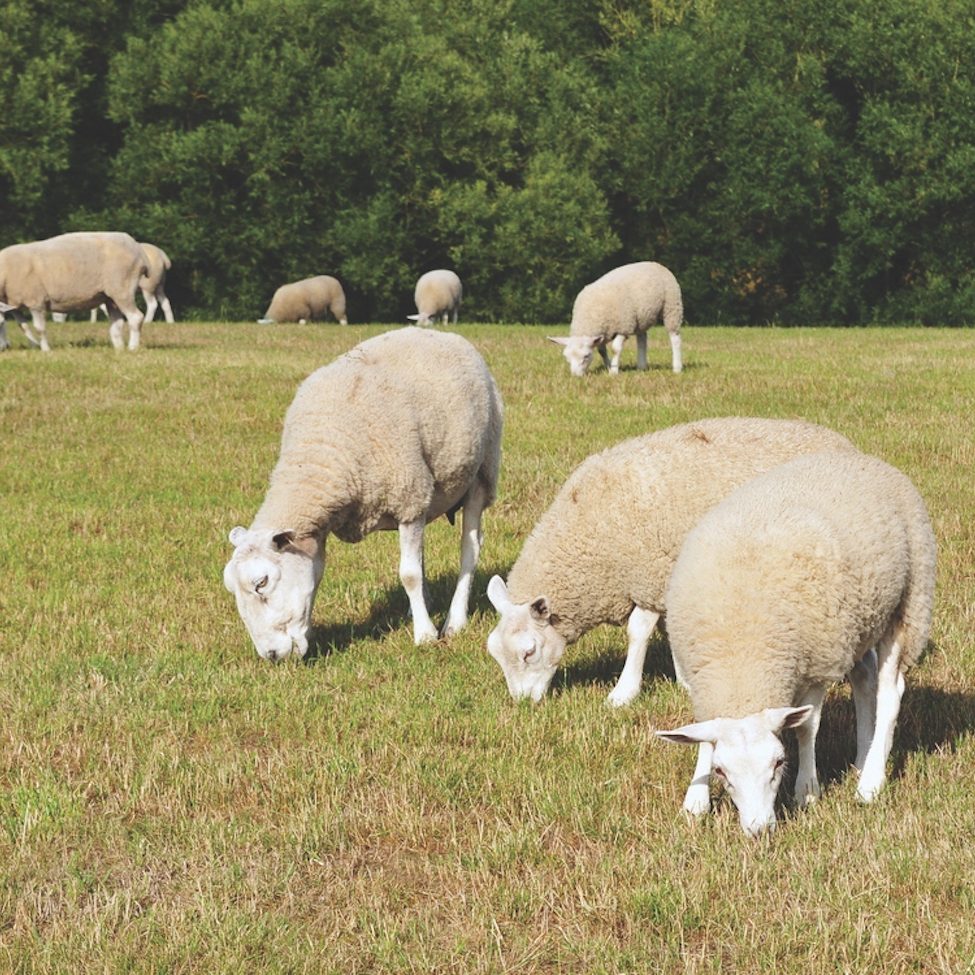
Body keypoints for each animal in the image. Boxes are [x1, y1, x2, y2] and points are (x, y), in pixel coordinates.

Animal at [0, 231, 147, 352]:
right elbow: (23, 326)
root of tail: (137, 248)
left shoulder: (36, 301)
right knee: (117, 322)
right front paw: (33, 346)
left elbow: (39, 328)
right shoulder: (14, 305)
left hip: (123, 288)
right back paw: (119, 348)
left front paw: (45, 350)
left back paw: (132, 348)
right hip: (110, 297)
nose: (3, 348)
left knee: (136, 317)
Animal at [224, 324, 504, 660]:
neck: (320, 452)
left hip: (481, 472)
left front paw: (425, 635)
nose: (272, 656)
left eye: (261, 582)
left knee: (470, 549)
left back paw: (454, 621)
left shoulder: (408, 498)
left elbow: (408, 575)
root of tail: (441, 333)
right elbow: (322, 572)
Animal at [486, 414, 856, 708]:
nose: (522, 703)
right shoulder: (667, 581)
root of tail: (841, 442)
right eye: (495, 654)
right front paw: (685, 680)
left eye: (529, 652)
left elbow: (638, 631)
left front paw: (623, 693)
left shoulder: (651, 574)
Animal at [548, 262, 688, 376]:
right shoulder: (603, 332)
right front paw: (609, 367)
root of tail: (656, 264)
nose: (575, 376)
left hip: (672, 307)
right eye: (567, 357)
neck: (590, 316)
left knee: (675, 338)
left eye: (586, 356)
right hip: (640, 318)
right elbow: (602, 351)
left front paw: (614, 371)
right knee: (642, 339)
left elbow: (615, 348)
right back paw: (641, 367)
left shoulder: (624, 327)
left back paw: (677, 368)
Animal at [656, 452, 936, 840]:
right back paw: (861, 760)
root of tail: (861, 458)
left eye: (779, 763)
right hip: (859, 620)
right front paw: (696, 801)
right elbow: (704, 734)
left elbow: (806, 728)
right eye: (721, 772)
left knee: (890, 692)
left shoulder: (815, 665)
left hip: (906, 604)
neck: (741, 659)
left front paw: (807, 790)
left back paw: (870, 782)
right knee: (864, 681)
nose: (759, 830)